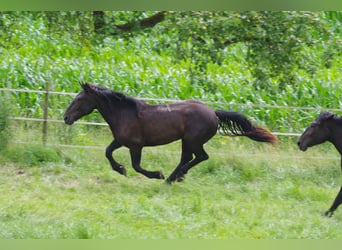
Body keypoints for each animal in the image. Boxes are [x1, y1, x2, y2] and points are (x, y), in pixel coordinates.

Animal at [64, 83, 278, 183]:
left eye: (79, 99)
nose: (66, 117)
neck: (124, 113)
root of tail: (213, 113)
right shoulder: (120, 141)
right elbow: (108, 152)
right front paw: (120, 169)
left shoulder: (135, 145)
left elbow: (137, 166)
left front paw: (156, 174)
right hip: (189, 141)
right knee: (190, 158)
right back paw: (176, 177)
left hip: (192, 140)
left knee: (198, 157)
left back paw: (171, 178)